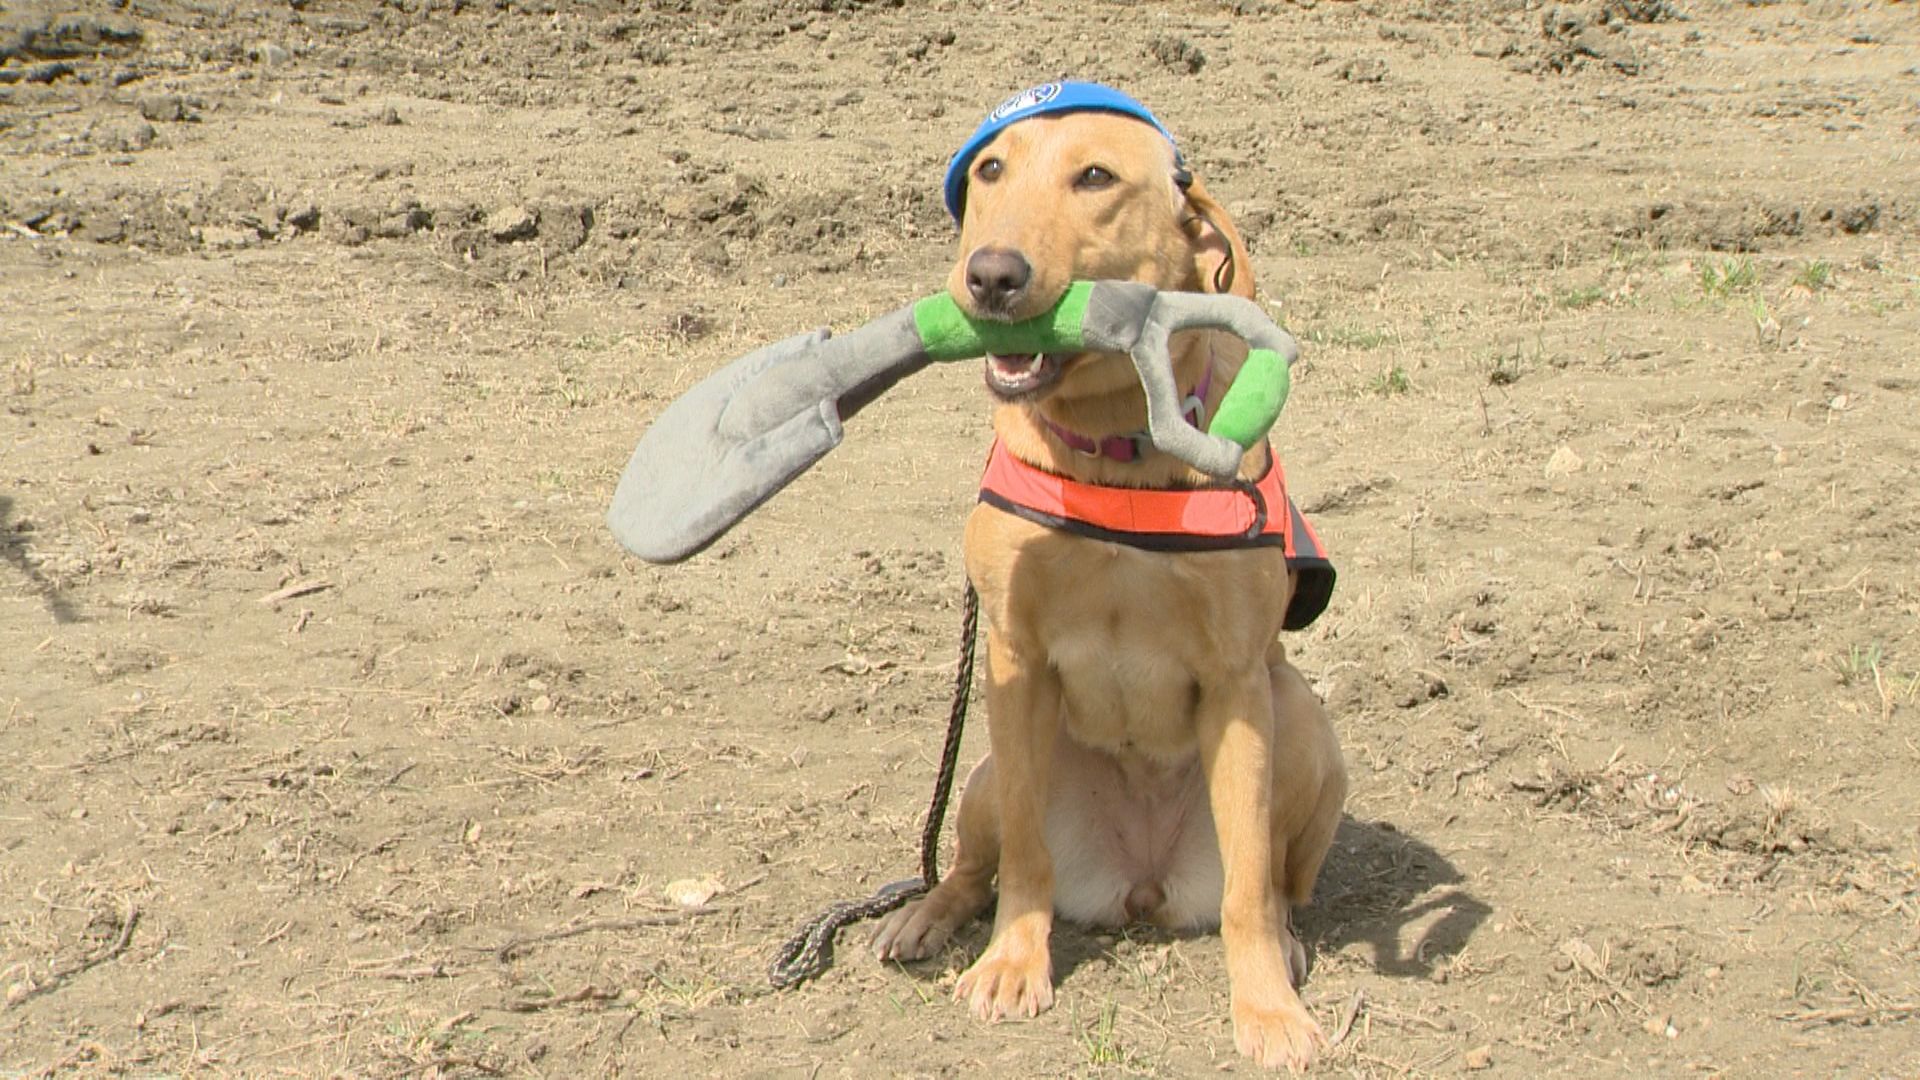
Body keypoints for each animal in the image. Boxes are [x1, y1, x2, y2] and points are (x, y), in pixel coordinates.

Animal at [875, 84, 1351, 1068]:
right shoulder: (1013, 660)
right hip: (982, 773)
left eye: (1095, 177)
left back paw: (1286, 948)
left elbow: (1250, 889)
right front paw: (1013, 964)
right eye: (990, 170)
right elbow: (1025, 860)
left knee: (1275, 884)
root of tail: (1141, 883)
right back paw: (924, 918)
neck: (1113, 449)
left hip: (1302, 727)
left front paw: (1267, 1009)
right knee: (974, 864)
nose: (990, 275)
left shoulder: (1240, 680)